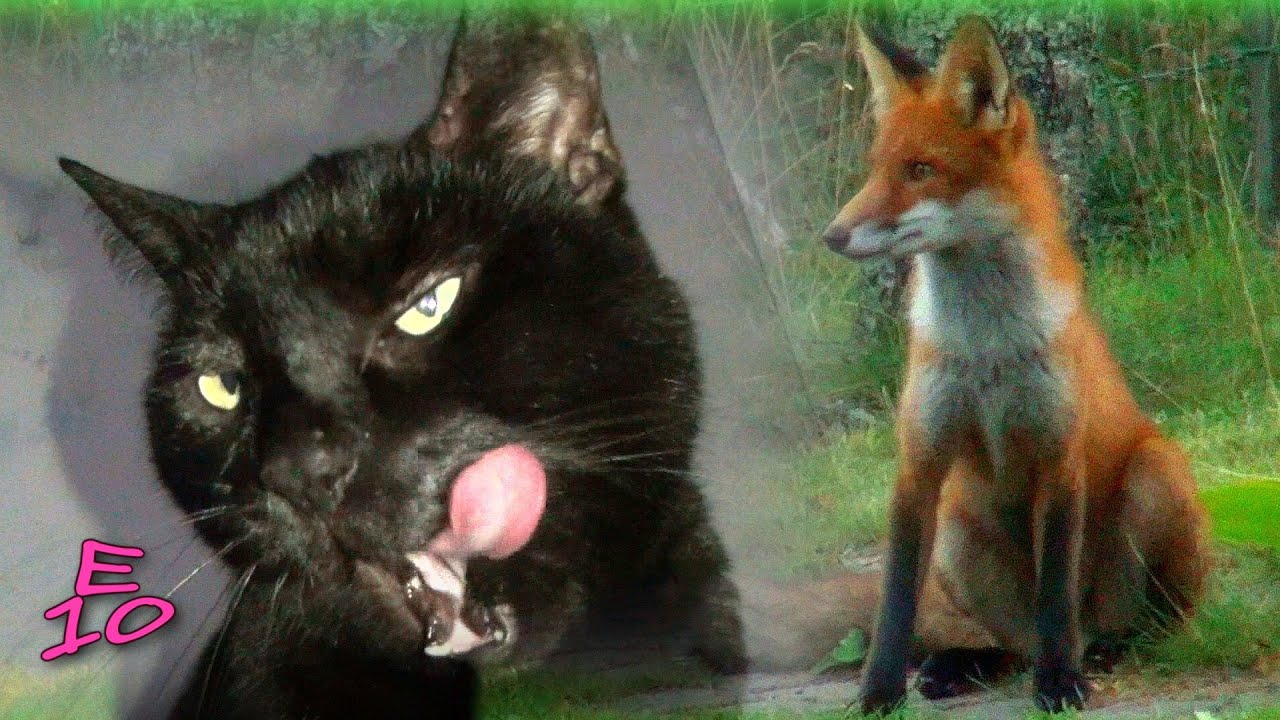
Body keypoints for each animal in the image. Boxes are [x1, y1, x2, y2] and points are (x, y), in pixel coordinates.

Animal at [817, 17, 1211, 714]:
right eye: (874, 169)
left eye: (921, 170)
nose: (832, 236)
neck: (988, 350)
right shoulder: (919, 462)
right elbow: (894, 601)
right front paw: (878, 693)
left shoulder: (1057, 456)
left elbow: (1056, 592)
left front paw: (1059, 684)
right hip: (956, 533)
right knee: (1004, 645)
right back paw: (958, 666)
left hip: (1156, 473)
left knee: (1124, 624)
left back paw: (1103, 653)